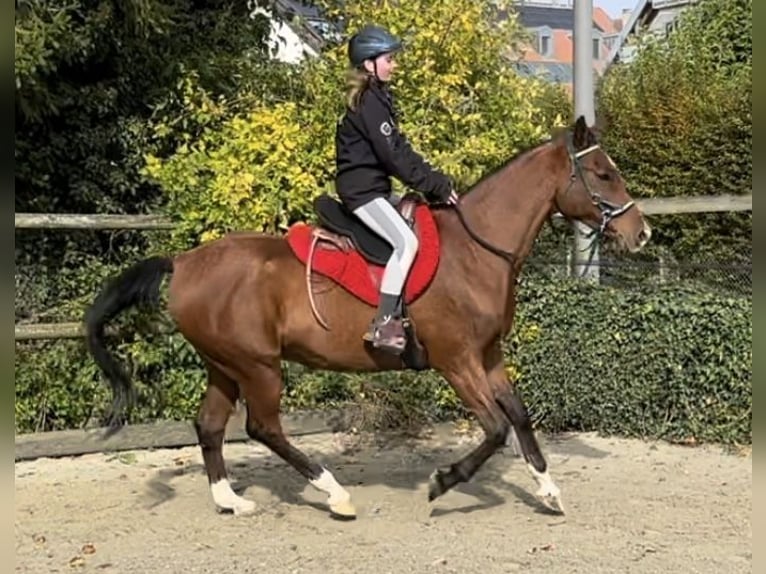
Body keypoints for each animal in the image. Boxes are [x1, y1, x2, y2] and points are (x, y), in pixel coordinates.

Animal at [85, 117, 656, 520]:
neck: (475, 250)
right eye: (604, 174)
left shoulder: (489, 355)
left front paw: (548, 489)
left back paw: (232, 501)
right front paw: (443, 481)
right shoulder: (456, 361)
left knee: (209, 425)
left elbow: (518, 416)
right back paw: (334, 494)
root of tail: (183, 261)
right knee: (263, 427)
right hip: (258, 367)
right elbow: (495, 429)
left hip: (224, 365)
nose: (641, 233)